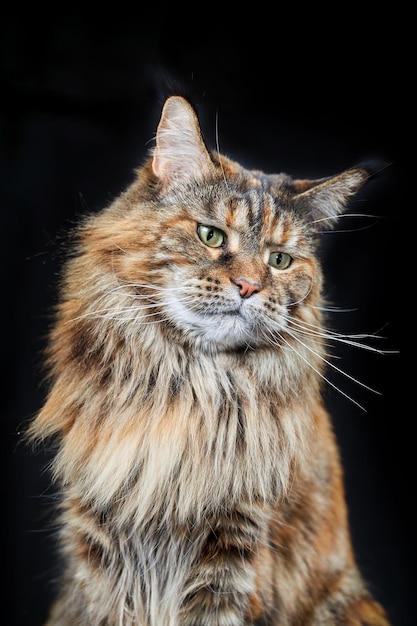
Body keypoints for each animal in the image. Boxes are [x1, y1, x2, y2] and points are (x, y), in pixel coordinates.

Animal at [27, 94, 388, 624]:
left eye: (280, 261)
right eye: (211, 236)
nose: (249, 286)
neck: (191, 390)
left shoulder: (237, 553)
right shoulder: (98, 551)